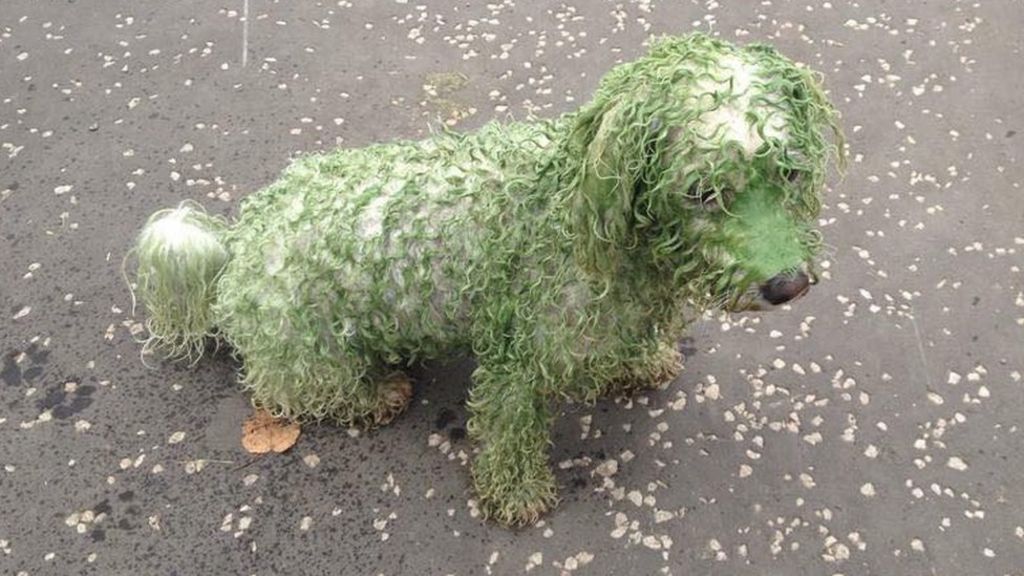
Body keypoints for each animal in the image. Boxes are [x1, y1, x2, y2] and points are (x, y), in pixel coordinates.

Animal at [134, 33, 839, 522]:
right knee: (294, 391)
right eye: (703, 192)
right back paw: (379, 392)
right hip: (308, 352)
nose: (788, 285)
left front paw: (641, 360)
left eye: (789, 172)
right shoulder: (516, 357)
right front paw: (518, 495)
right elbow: (508, 431)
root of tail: (238, 241)